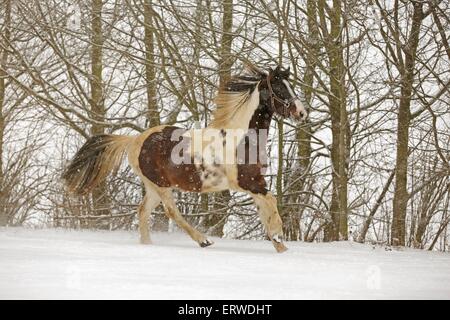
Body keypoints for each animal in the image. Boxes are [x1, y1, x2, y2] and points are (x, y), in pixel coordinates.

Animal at [62, 65, 306, 254]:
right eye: (279, 88)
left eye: (291, 86)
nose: (302, 112)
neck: (240, 139)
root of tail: (135, 140)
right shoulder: (248, 183)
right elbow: (272, 203)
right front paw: (279, 237)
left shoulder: (255, 183)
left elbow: (266, 210)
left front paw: (280, 246)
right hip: (161, 185)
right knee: (172, 212)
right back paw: (203, 241)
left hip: (153, 187)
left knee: (143, 211)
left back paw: (148, 245)